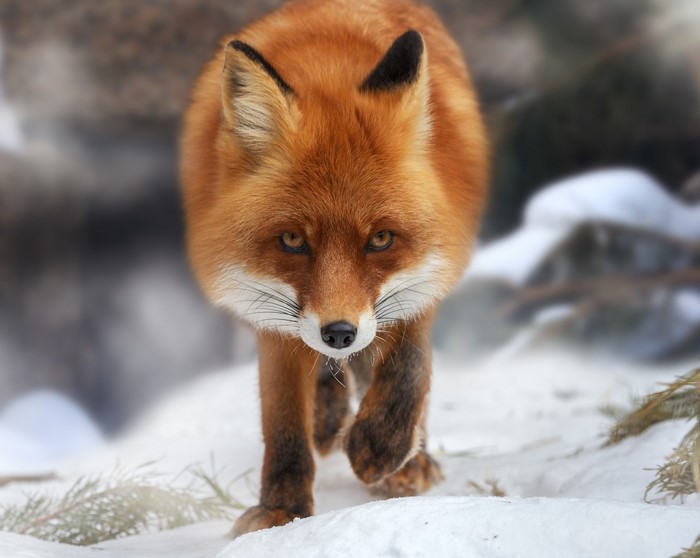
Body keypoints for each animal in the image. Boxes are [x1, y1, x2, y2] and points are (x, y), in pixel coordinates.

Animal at [180, 0, 488, 537]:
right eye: (292, 240)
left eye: (380, 239)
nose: (340, 333)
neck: (329, 64)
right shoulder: (273, 318)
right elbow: (283, 422)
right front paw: (282, 511)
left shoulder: (423, 277)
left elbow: (410, 369)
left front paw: (380, 448)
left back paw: (406, 458)